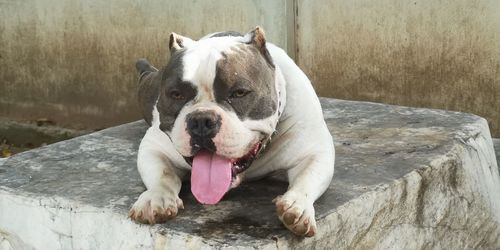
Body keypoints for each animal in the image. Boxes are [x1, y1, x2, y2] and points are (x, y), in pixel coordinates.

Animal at [127, 26, 334, 237]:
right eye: (176, 95)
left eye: (239, 93)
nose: (201, 121)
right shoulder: (155, 146)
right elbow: (163, 174)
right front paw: (156, 198)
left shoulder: (314, 150)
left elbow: (307, 177)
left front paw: (297, 205)